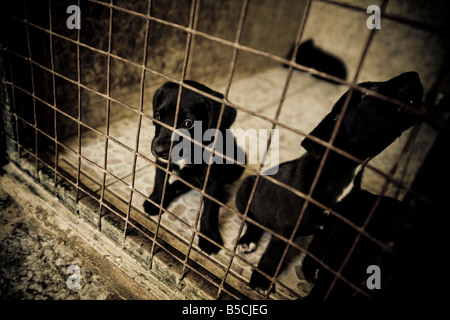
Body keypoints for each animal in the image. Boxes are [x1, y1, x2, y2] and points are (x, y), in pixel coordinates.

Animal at [145, 80, 246, 255]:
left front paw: (208, 236)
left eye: (188, 124)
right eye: (157, 116)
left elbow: (209, 210)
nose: (158, 150)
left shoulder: (213, 179)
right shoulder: (163, 163)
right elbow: (159, 181)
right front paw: (156, 201)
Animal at [237, 71, 424, 288]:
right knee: (253, 221)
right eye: (370, 91)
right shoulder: (286, 227)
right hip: (246, 191)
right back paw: (247, 240)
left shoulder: (330, 227)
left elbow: (315, 251)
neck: (341, 172)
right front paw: (261, 280)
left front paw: (310, 271)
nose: (414, 74)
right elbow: (273, 256)